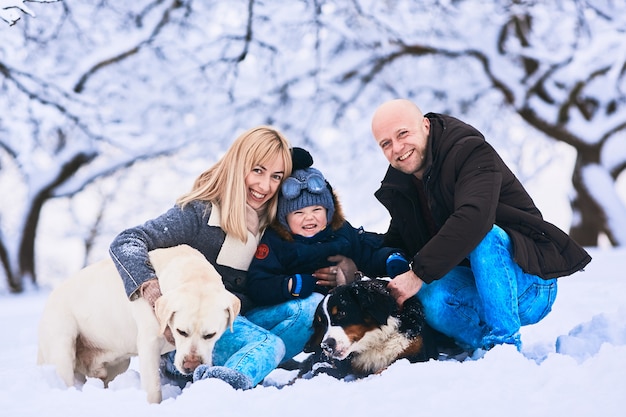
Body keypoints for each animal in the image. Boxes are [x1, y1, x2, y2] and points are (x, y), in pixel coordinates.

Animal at [37, 244, 239, 404]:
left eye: (210, 335)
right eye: (181, 331)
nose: (191, 365)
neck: (194, 273)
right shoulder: (149, 345)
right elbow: (153, 388)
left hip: (118, 363)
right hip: (62, 347)